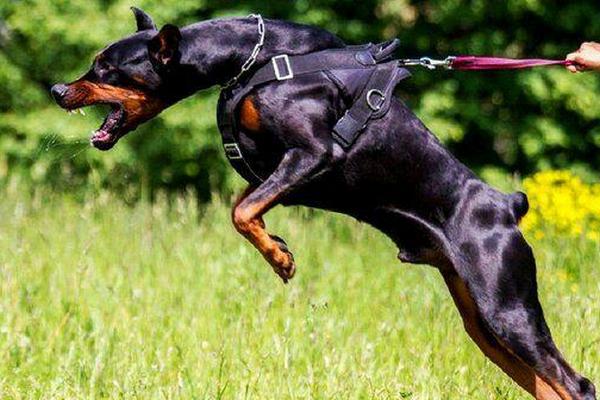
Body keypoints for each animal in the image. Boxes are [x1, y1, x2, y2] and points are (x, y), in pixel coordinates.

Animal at [50, 8, 596, 400]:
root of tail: (507, 206)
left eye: (107, 67)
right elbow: (245, 205)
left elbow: (241, 211)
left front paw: (280, 259)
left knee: (577, 385)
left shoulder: (315, 152)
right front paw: (276, 244)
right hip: (483, 324)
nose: (56, 89)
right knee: (550, 387)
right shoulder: (278, 167)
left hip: (508, 307)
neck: (253, 59)